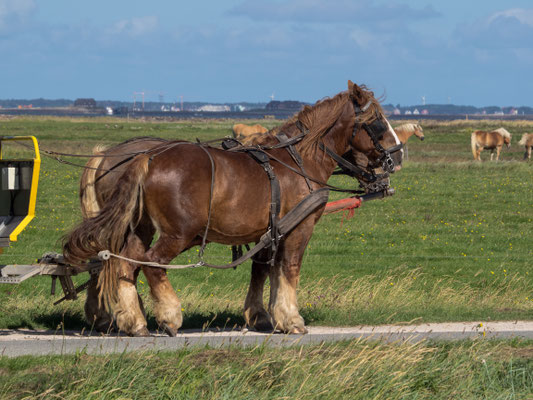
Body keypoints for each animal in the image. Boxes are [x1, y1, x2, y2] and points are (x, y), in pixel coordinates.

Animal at [63, 82, 404, 338]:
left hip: (139, 228)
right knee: (151, 264)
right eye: (377, 121)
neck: (298, 160)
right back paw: (168, 314)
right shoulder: (299, 228)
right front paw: (291, 319)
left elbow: (265, 270)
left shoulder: (270, 231)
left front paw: (265, 316)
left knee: (123, 264)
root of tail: (148, 157)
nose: (398, 156)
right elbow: (289, 268)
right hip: (178, 232)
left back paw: (132, 320)